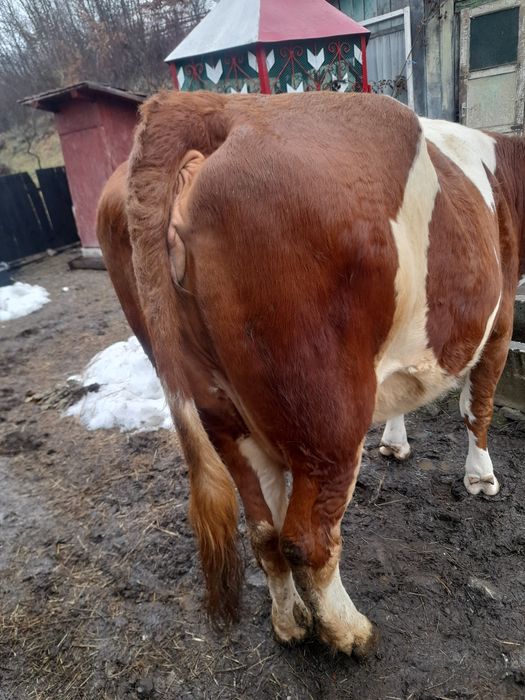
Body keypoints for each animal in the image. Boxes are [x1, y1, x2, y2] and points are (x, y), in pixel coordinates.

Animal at [97, 90, 524, 657]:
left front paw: (395, 443)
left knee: (263, 530)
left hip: (222, 411)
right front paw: (481, 477)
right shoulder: (500, 321)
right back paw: (349, 632)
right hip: (327, 415)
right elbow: (478, 405)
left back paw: (291, 623)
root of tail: (217, 105)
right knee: (307, 538)